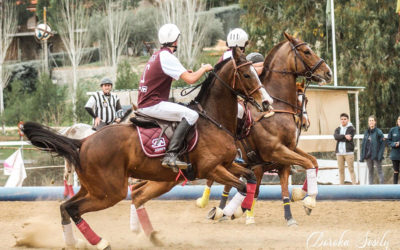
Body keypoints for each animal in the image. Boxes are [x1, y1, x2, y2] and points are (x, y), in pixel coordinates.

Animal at [21, 47, 272, 249]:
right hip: (110, 191)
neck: (213, 119)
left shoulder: (227, 164)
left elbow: (249, 179)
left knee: (68, 206)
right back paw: (100, 242)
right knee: (75, 208)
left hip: (100, 187)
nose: (267, 103)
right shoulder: (212, 169)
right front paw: (231, 210)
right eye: (248, 74)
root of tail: (83, 142)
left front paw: (236, 209)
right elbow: (241, 184)